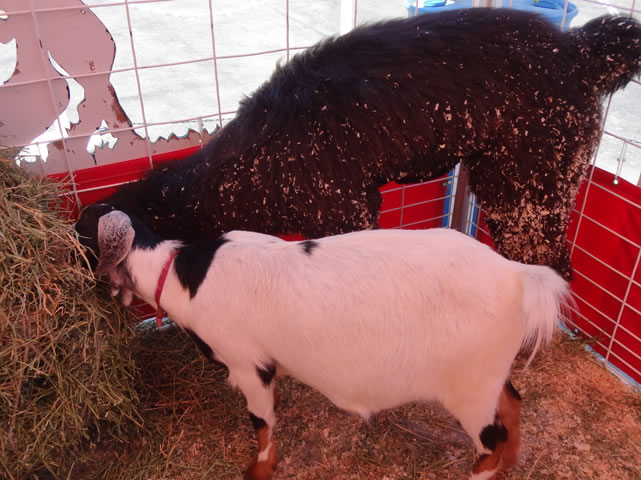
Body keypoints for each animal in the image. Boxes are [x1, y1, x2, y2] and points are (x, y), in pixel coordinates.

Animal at [76, 203, 570, 480]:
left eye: (80, 227)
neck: (182, 275)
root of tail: (518, 276)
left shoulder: (248, 363)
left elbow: (261, 422)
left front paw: (259, 469)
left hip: (469, 388)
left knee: (489, 441)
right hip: (488, 373)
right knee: (513, 404)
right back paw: (513, 462)